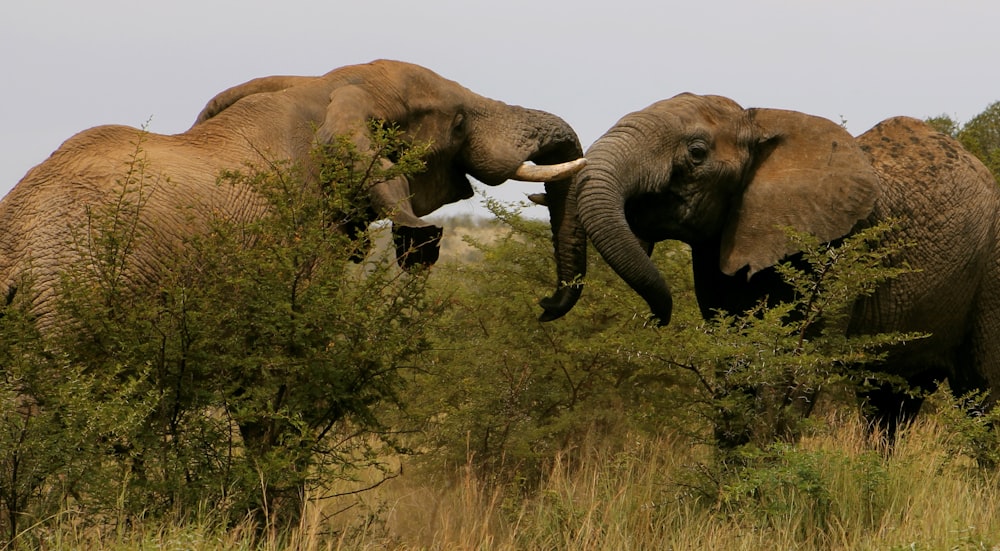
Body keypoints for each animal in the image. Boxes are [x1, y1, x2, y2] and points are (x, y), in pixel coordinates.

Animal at [572, 92, 1000, 434]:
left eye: (696, 152)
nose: (655, 319)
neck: (759, 123)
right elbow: (734, 360)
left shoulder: (832, 252)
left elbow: (799, 364)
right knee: (888, 404)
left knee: (984, 392)